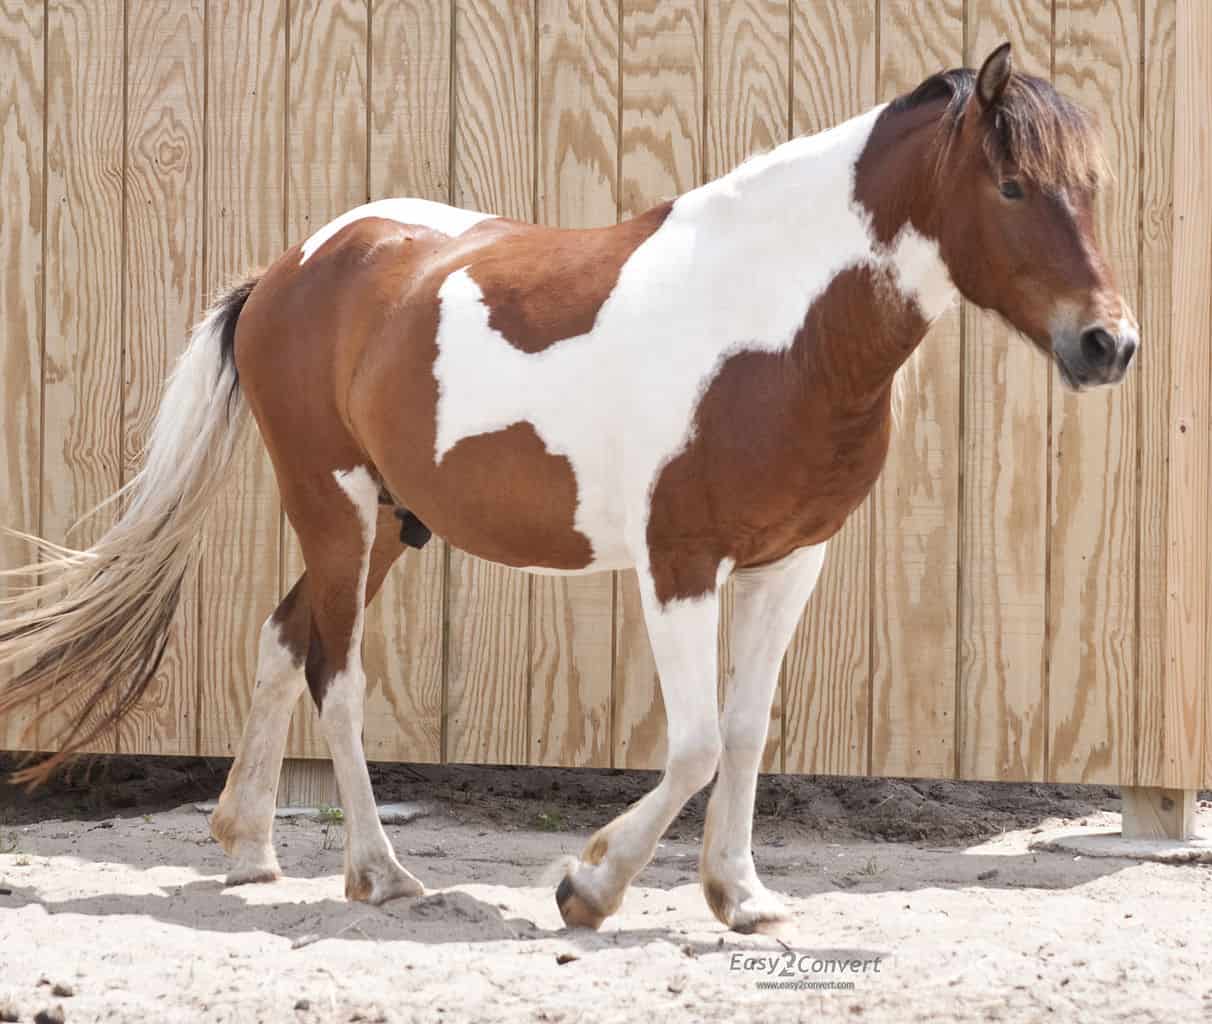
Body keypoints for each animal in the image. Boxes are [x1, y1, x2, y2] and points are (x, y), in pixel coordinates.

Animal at [0, 43, 1136, 933]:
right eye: (1013, 188)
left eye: (1093, 187)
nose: (1109, 344)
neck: (775, 329)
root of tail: (289, 268)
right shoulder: (680, 562)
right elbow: (692, 743)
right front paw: (589, 887)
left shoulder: (788, 562)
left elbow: (744, 731)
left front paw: (740, 896)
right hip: (335, 506)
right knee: (338, 676)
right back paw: (379, 873)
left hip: (390, 524)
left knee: (284, 641)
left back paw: (246, 845)